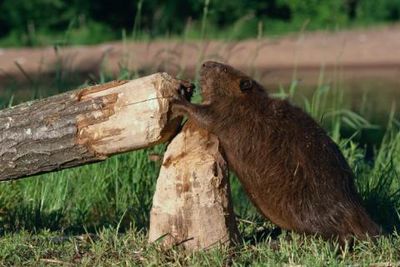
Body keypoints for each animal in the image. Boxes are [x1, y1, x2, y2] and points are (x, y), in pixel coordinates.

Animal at [172, 60, 382, 245]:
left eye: (223, 69)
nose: (205, 64)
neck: (250, 102)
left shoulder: (229, 113)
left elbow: (205, 116)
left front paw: (178, 100)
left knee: (339, 234)